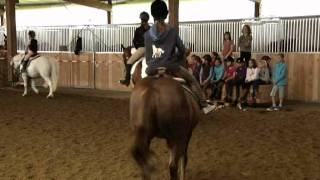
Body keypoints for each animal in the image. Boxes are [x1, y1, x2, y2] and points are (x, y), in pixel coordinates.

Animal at [122, 44, 200, 179]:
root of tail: (150, 91)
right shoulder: (186, 134)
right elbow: (183, 159)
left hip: (143, 134)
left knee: (140, 157)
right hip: (175, 137)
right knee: (172, 166)